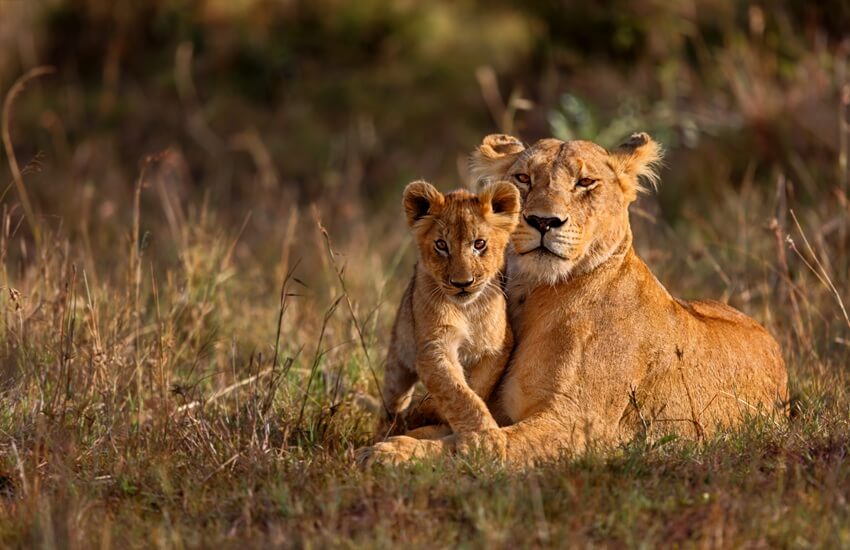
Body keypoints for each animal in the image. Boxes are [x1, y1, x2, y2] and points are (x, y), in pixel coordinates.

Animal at [368, 180, 520, 444]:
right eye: (441, 245)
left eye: (479, 244)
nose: (462, 283)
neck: (467, 309)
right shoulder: (433, 347)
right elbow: (457, 392)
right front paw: (485, 438)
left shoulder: (497, 347)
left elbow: (476, 387)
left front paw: (430, 412)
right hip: (398, 360)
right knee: (392, 401)